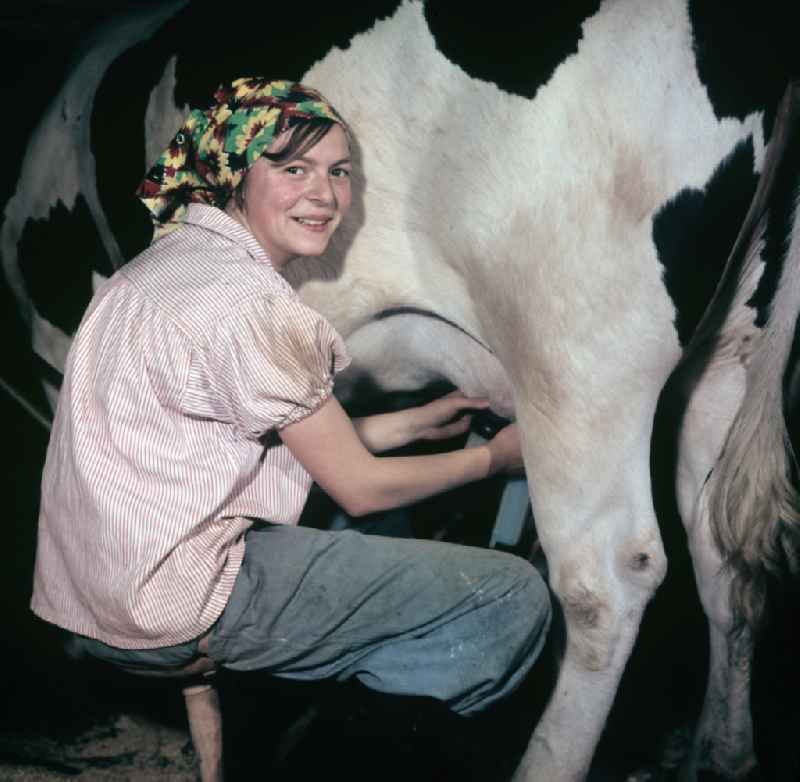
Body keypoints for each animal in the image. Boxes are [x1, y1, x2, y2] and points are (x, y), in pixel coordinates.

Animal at [1, 0, 800, 780]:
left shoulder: (64, 346)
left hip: (575, 354)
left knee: (604, 578)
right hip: (732, 349)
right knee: (721, 546)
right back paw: (722, 755)